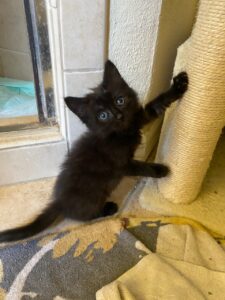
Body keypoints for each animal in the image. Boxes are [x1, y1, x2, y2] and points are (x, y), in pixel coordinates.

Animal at [0, 60, 187, 241]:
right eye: (103, 116)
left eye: (120, 100)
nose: (119, 116)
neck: (121, 134)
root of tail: (59, 201)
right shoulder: (122, 164)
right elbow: (142, 166)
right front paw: (161, 170)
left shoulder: (136, 118)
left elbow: (154, 107)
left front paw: (179, 86)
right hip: (94, 196)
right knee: (85, 215)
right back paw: (108, 208)